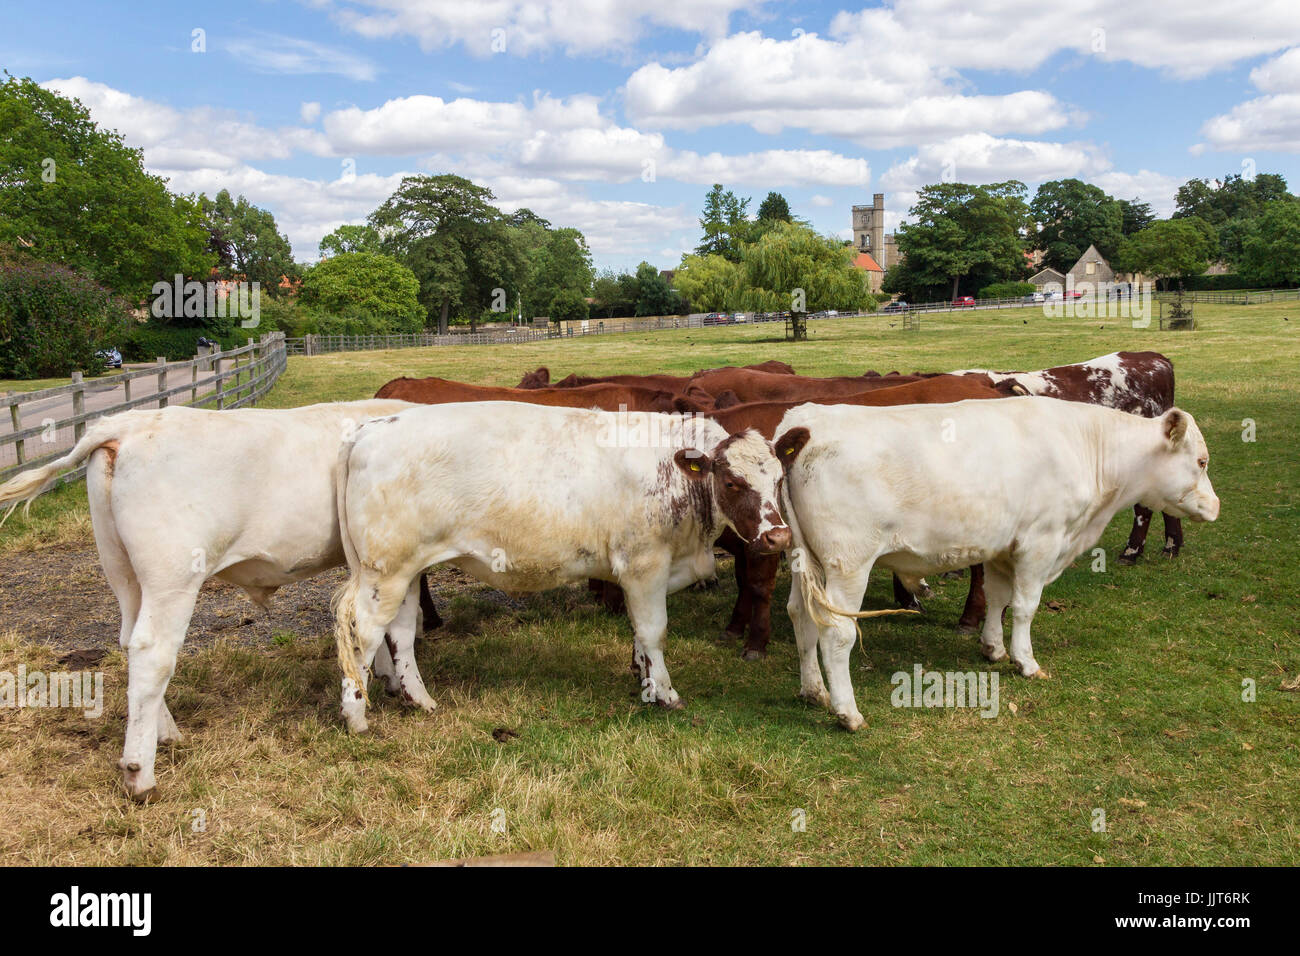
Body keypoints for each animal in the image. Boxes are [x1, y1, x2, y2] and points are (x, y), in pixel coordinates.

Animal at [0, 400, 410, 806]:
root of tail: (126, 424)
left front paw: (386, 677)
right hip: (172, 575)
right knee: (153, 652)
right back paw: (140, 773)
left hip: (121, 569)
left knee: (130, 641)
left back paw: (165, 733)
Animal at [330, 398, 785, 733]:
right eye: (733, 482)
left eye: (779, 480)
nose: (778, 537)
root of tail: (371, 428)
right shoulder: (644, 564)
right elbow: (654, 630)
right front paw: (665, 693)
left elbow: (639, 632)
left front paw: (643, 675)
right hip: (384, 571)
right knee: (363, 634)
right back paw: (356, 716)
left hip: (405, 573)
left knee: (401, 634)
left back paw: (421, 700)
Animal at [774, 395, 1222, 733]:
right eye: (1201, 461)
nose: (1216, 507)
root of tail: (807, 422)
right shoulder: (1041, 541)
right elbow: (1024, 607)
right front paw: (1026, 661)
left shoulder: (1004, 546)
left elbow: (997, 598)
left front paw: (993, 647)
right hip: (848, 563)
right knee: (836, 633)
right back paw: (847, 712)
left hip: (805, 561)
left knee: (801, 615)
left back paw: (814, 691)